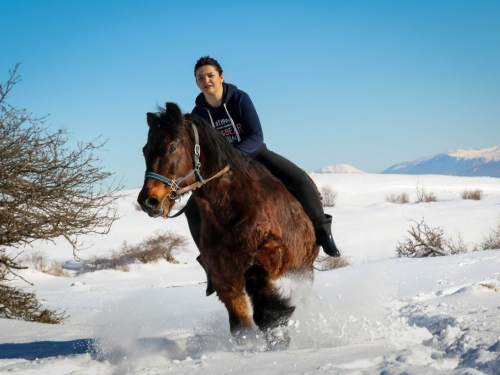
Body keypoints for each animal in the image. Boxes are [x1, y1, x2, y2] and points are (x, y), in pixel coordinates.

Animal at [138, 103, 316, 344]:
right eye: (144, 150)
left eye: (172, 147)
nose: (148, 202)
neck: (229, 210)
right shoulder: (223, 275)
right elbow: (240, 322)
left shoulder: (273, 250)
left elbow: (254, 276)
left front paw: (274, 320)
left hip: (303, 267)